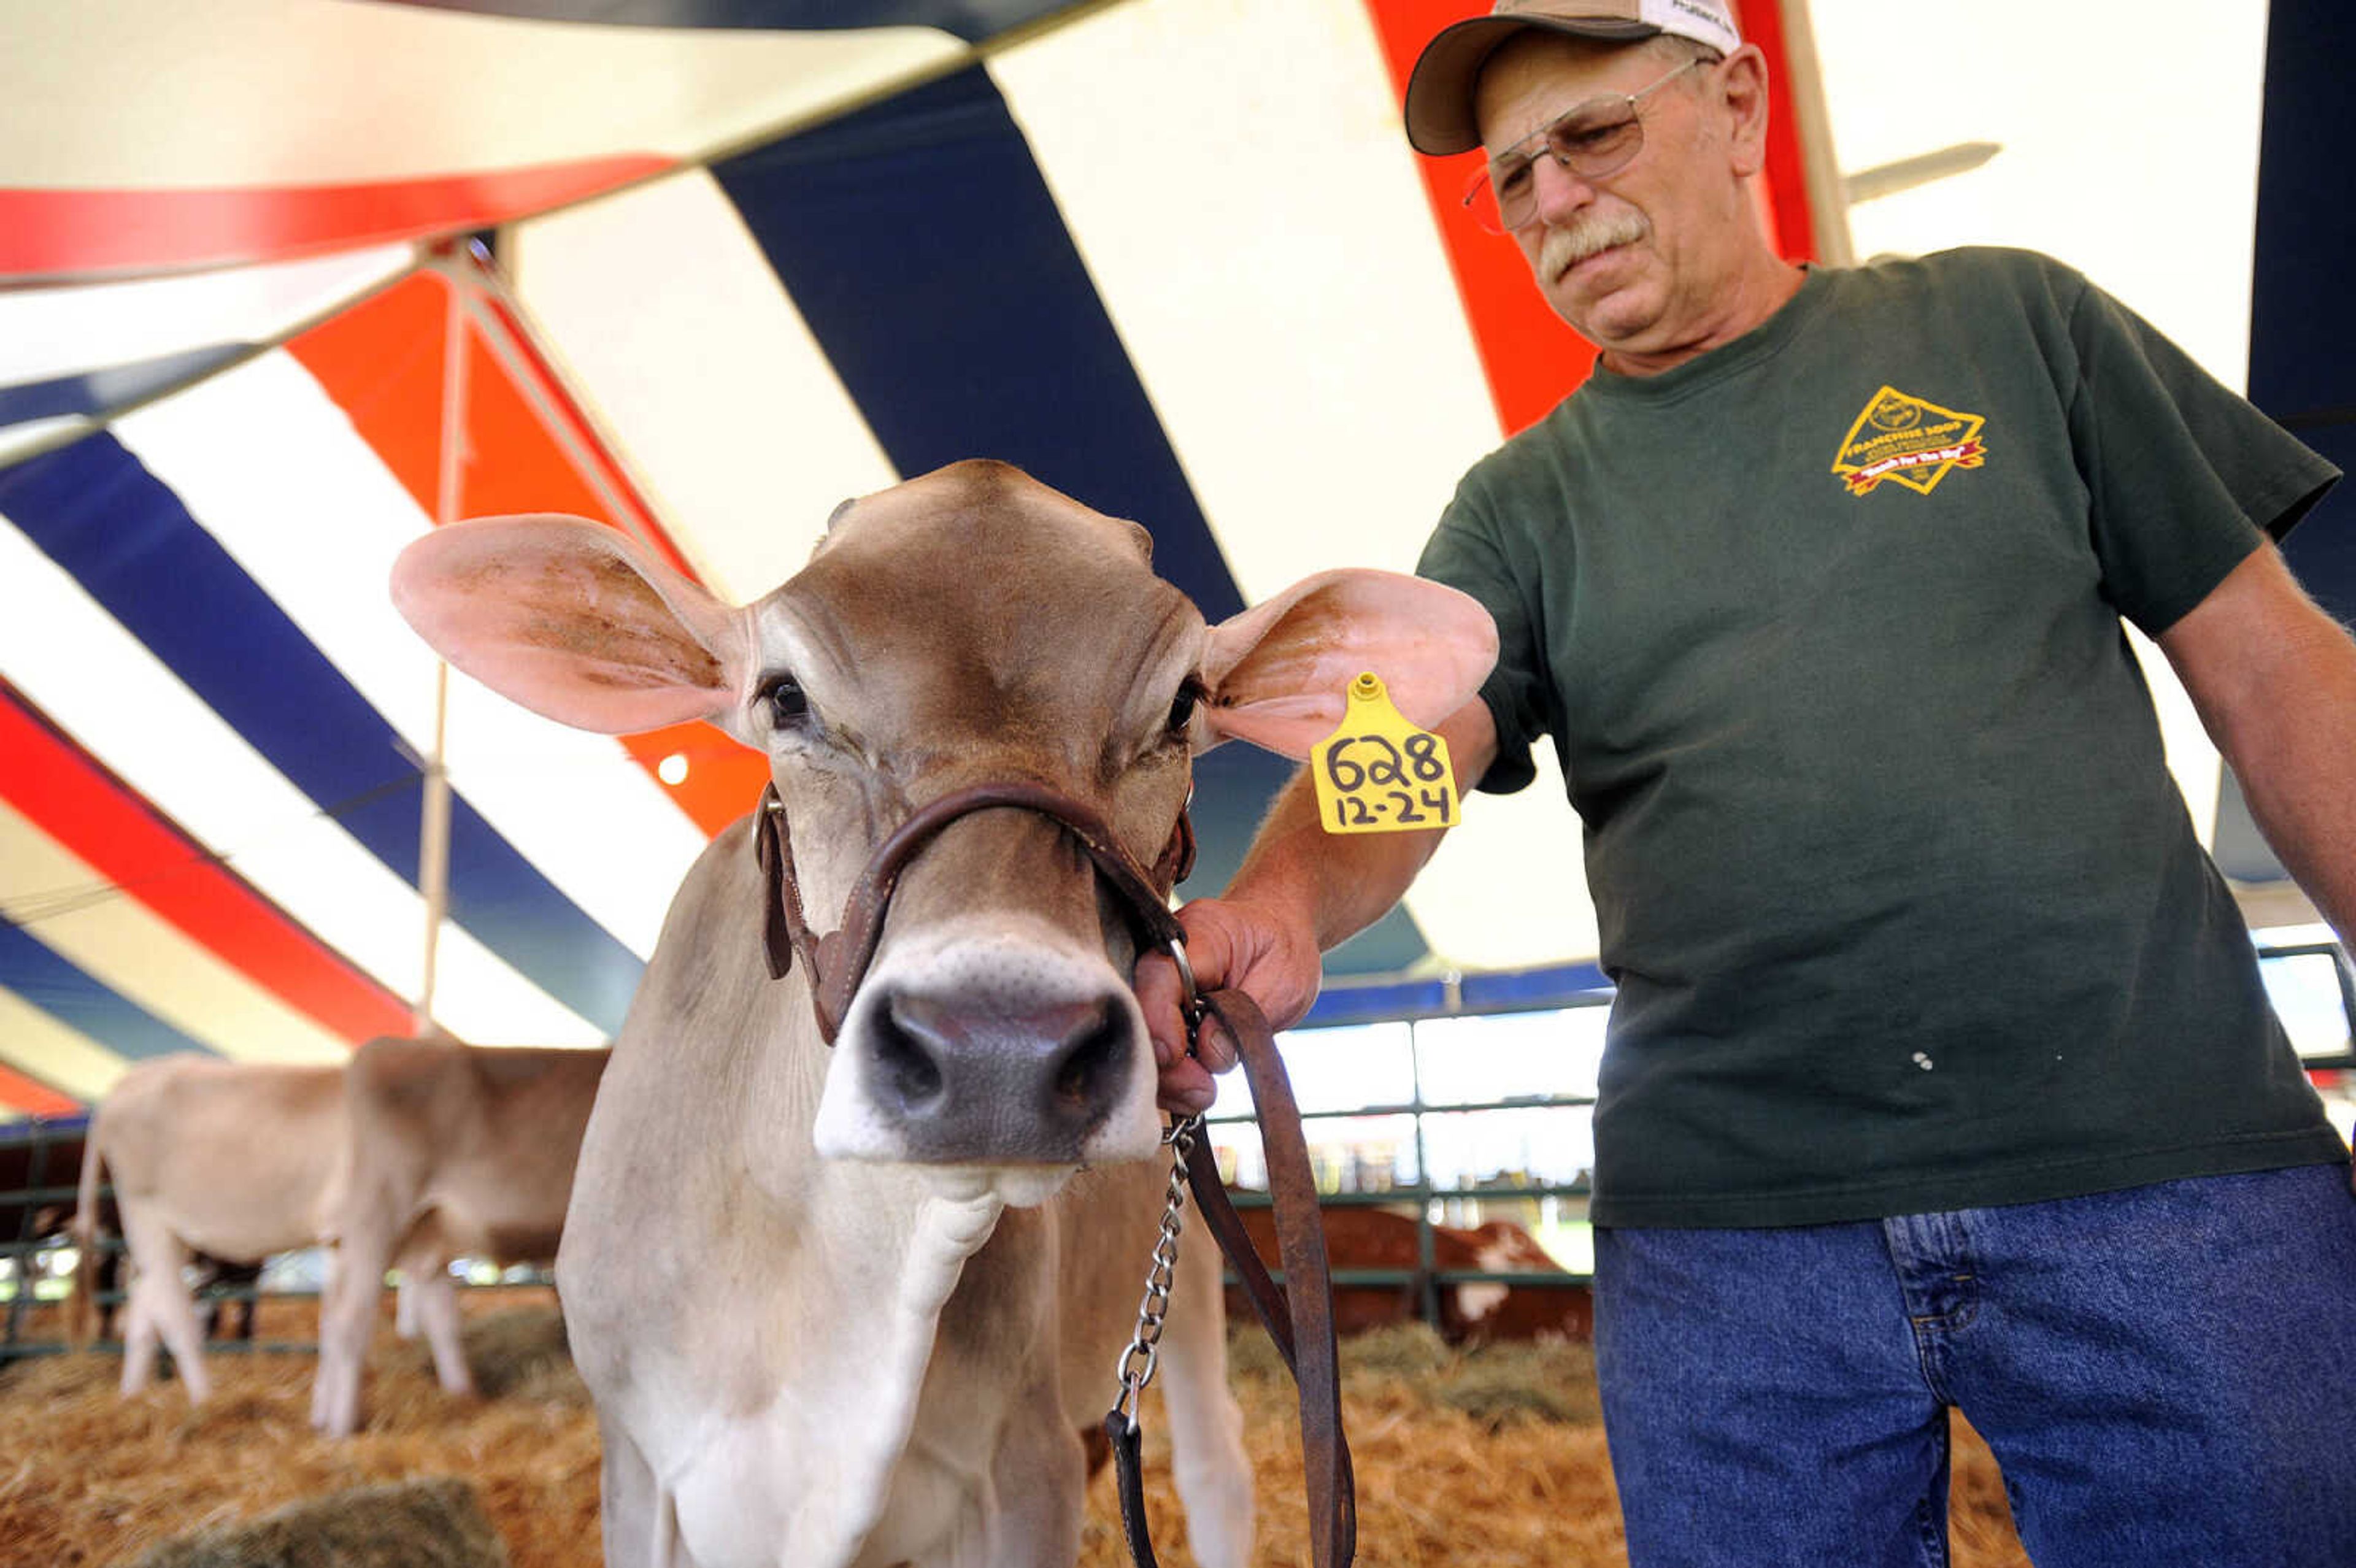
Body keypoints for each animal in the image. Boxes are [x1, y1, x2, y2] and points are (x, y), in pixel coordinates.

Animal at [71, 1055, 346, 1394]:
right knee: (166, 1306)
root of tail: (124, 1085)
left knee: (146, 1306)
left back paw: (134, 1394)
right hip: (144, 1215)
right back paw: (202, 1396)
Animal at [310, 1031, 607, 1431]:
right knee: (349, 1322)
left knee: (426, 1319)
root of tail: (381, 1049)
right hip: (378, 1213)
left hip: (417, 1228)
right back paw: (342, 1429)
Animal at [386, 454, 1488, 1563]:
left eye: (1182, 706)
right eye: (784, 696)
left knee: (1215, 1463)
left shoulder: (1029, 1462)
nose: (997, 1049)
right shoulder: (637, 1463)